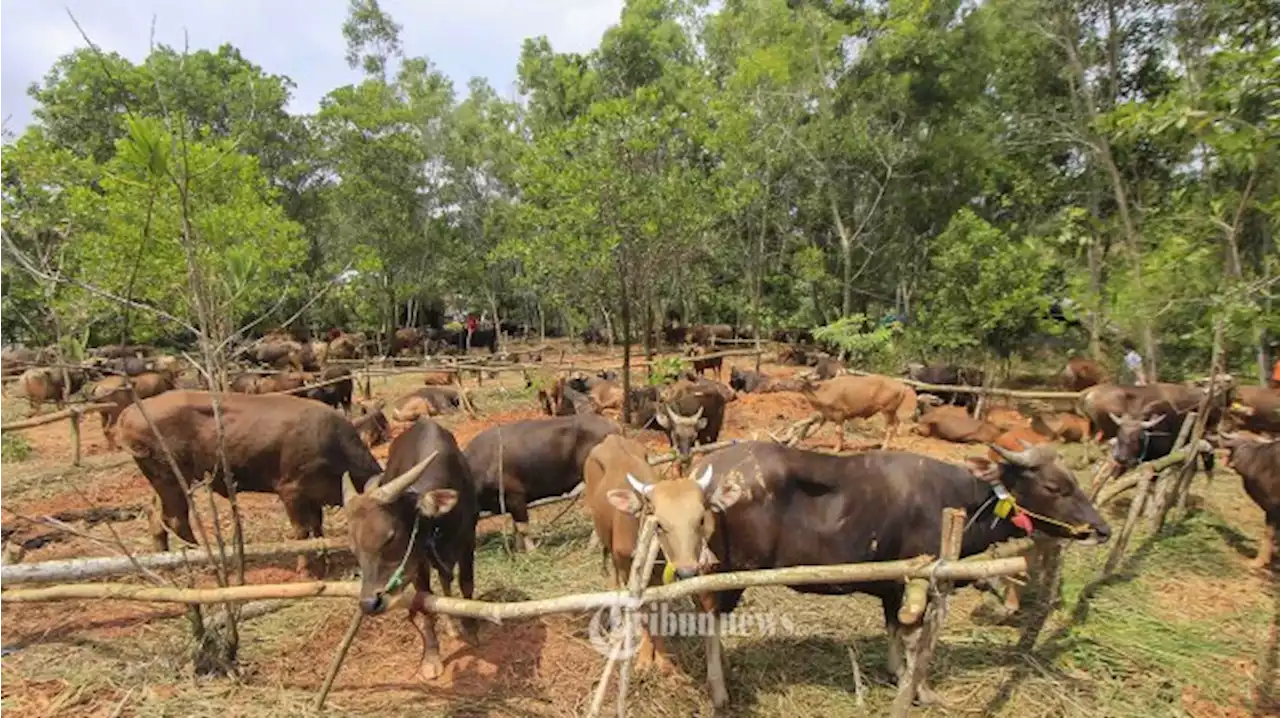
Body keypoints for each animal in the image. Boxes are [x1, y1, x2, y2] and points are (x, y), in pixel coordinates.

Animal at [118, 389, 381, 573]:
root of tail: (130, 412)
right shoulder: (291, 491)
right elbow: (302, 531)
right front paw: (306, 569)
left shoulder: (314, 497)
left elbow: (318, 527)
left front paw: (324, 561)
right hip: (173, 479)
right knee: (176, 519)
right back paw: (205, 559)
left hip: (161, 482)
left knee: (155, 514)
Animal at [340, 417, 481, 675]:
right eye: (354, 548)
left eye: (390, 537)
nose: (369, 604)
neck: (440, 522)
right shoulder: (417, 563)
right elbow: (425, 602)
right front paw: (431, 657)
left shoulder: (468, 542)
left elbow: (466, 586)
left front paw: (471, 630)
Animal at [586, 435, 747, 675]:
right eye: (659, 524)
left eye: (701, 519)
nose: (686, 570)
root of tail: (611, 437)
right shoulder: (629, 567)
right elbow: (643, 612)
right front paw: (646, 660)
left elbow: (662, 612)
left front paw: (664, 661)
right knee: (612, 575)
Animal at [691, 440, 1111, 701]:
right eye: (1055, 487)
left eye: (1074, 482)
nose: (1101, 529)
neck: (958, 500)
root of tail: (706, 474)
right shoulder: (920, 581)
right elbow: (915, 639)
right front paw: (920, 690)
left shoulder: (894, 586)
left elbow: (894, 627)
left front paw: (895, 673)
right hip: (730, 573)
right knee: (709, 617)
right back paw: (719, 690)